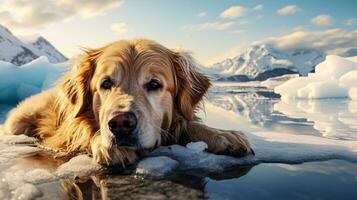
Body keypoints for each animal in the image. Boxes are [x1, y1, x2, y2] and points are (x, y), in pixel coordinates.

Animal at [3, 38, 253, 166]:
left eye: (154, 84)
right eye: (105, 83)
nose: (121, 124)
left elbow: (190, 124)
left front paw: (224, 135)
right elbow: (89, 132)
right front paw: (107, 145)